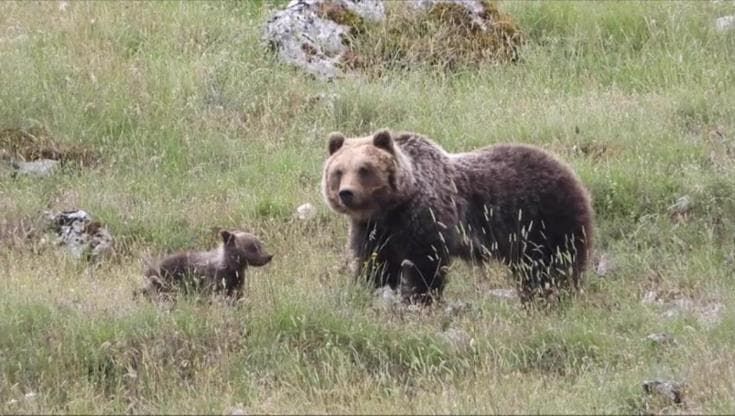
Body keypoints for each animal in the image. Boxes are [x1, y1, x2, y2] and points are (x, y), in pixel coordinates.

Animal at [321, 129, 593, 305]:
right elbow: (377, 264)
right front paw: (371, 288)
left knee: (553, 266)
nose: (346, 193)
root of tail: (570, 172)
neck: (394, 207)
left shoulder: (427, 219)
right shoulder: (372, 230)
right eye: (338, 171)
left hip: (545, 219)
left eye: (364, 169)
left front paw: (420, 298)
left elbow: (425, 264)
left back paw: (552, 295)